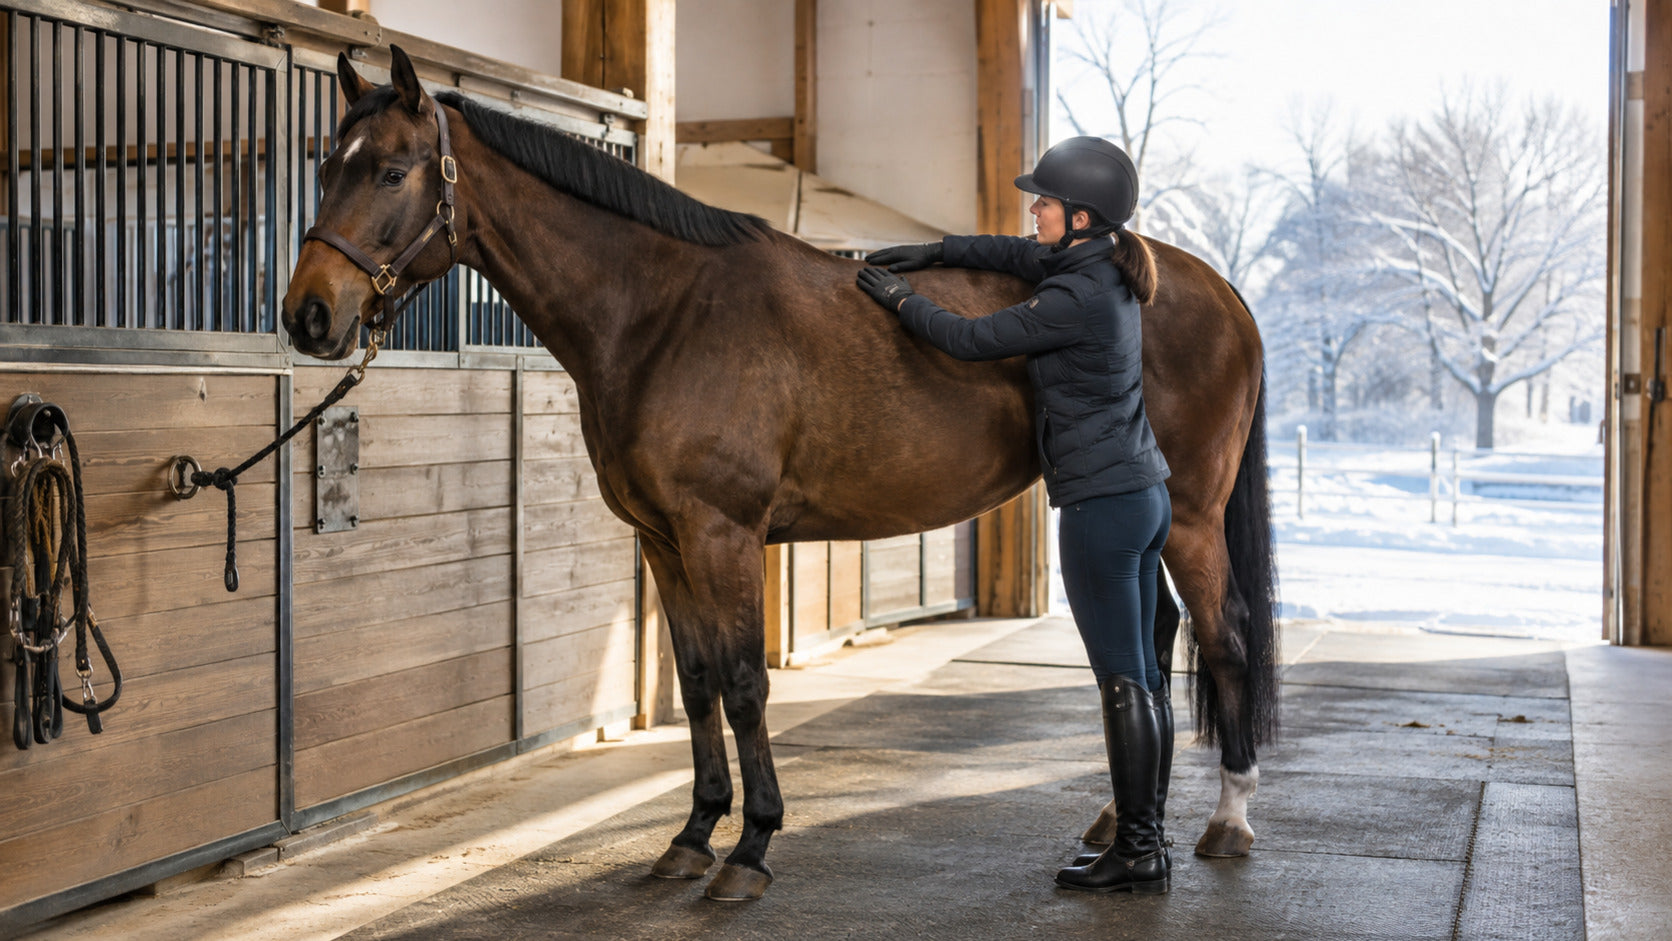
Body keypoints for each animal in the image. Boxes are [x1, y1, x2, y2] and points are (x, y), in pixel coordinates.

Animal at [281, 47, 1278, 902]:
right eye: (327, 165)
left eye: (392, 173)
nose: (308, 316)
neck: (663, 311)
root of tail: (1213, 288)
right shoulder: (663, 541)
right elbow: (695, 683)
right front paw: (691, 837)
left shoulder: (724, 534)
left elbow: (746, 683)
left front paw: (751, 847)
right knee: (1148, 644)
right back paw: (1118, 824)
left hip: (1190, 516)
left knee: (1221, 635)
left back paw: (1226, 821)